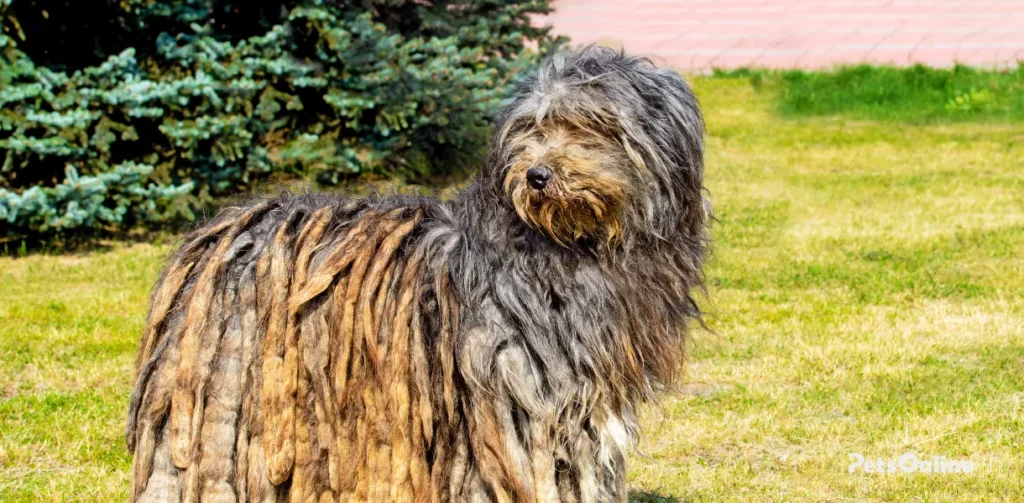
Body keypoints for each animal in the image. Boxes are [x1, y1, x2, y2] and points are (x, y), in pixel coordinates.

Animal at [123, 45, 708, 501]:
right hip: (224, 392)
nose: (537, 175)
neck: (570, 245)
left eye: (592, 125)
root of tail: (216, 233)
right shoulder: (506, 393)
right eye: (532, 129)